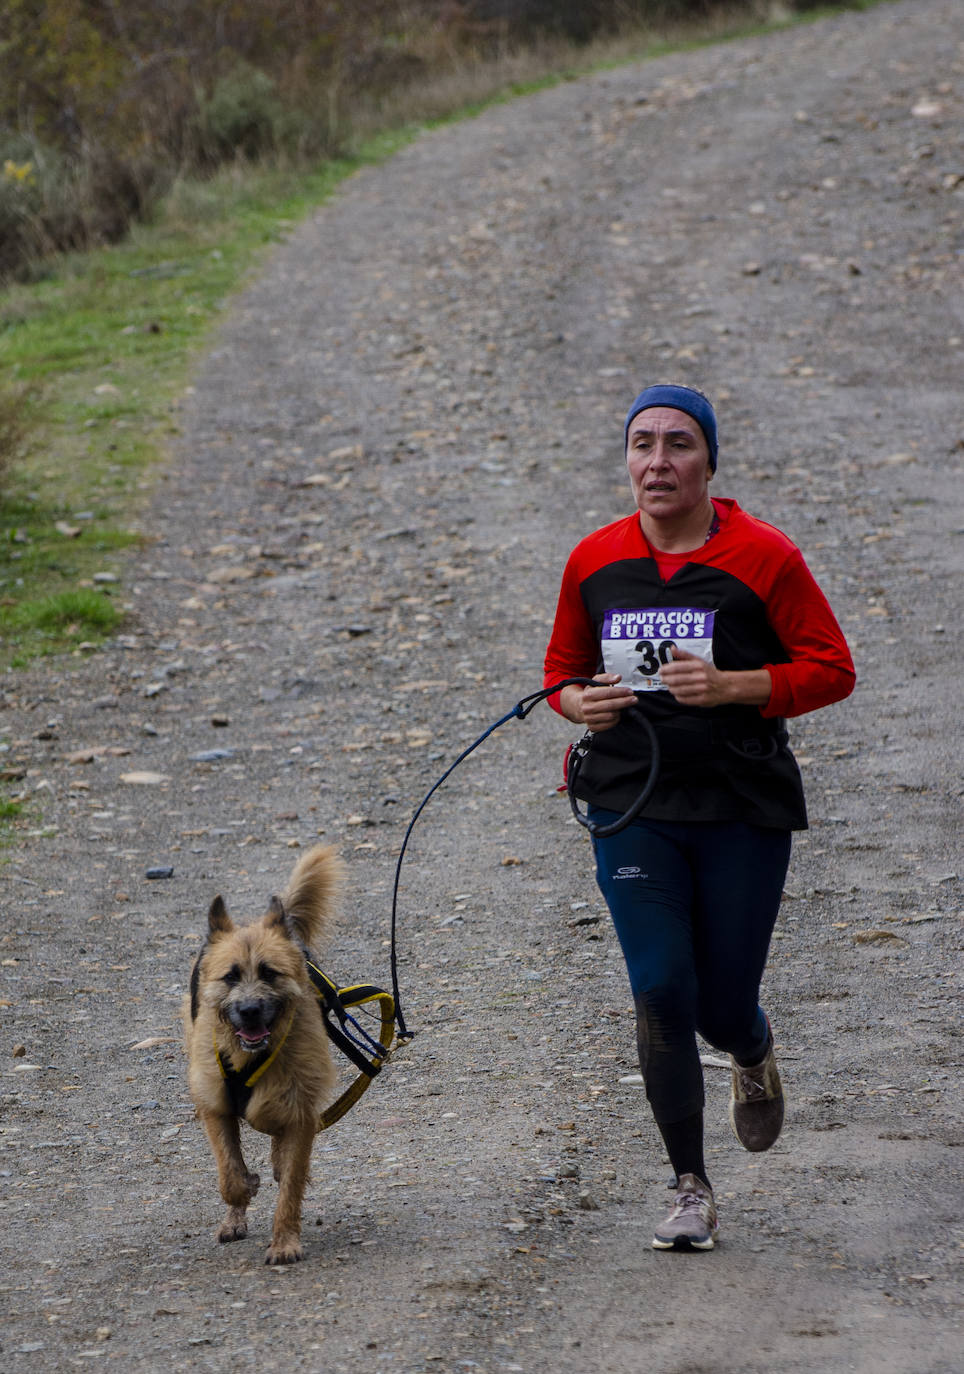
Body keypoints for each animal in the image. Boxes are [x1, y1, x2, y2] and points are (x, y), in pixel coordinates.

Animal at [184, 840, 343, 1258]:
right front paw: (244, 1189)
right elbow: (230, 1175)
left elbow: (290, 1183)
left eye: (270, 973)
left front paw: (285, 1241)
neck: (249, 1057)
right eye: (230, 976)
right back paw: (235, 1217)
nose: (250, 1010)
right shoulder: (214, 1105)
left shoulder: (301, 1113)